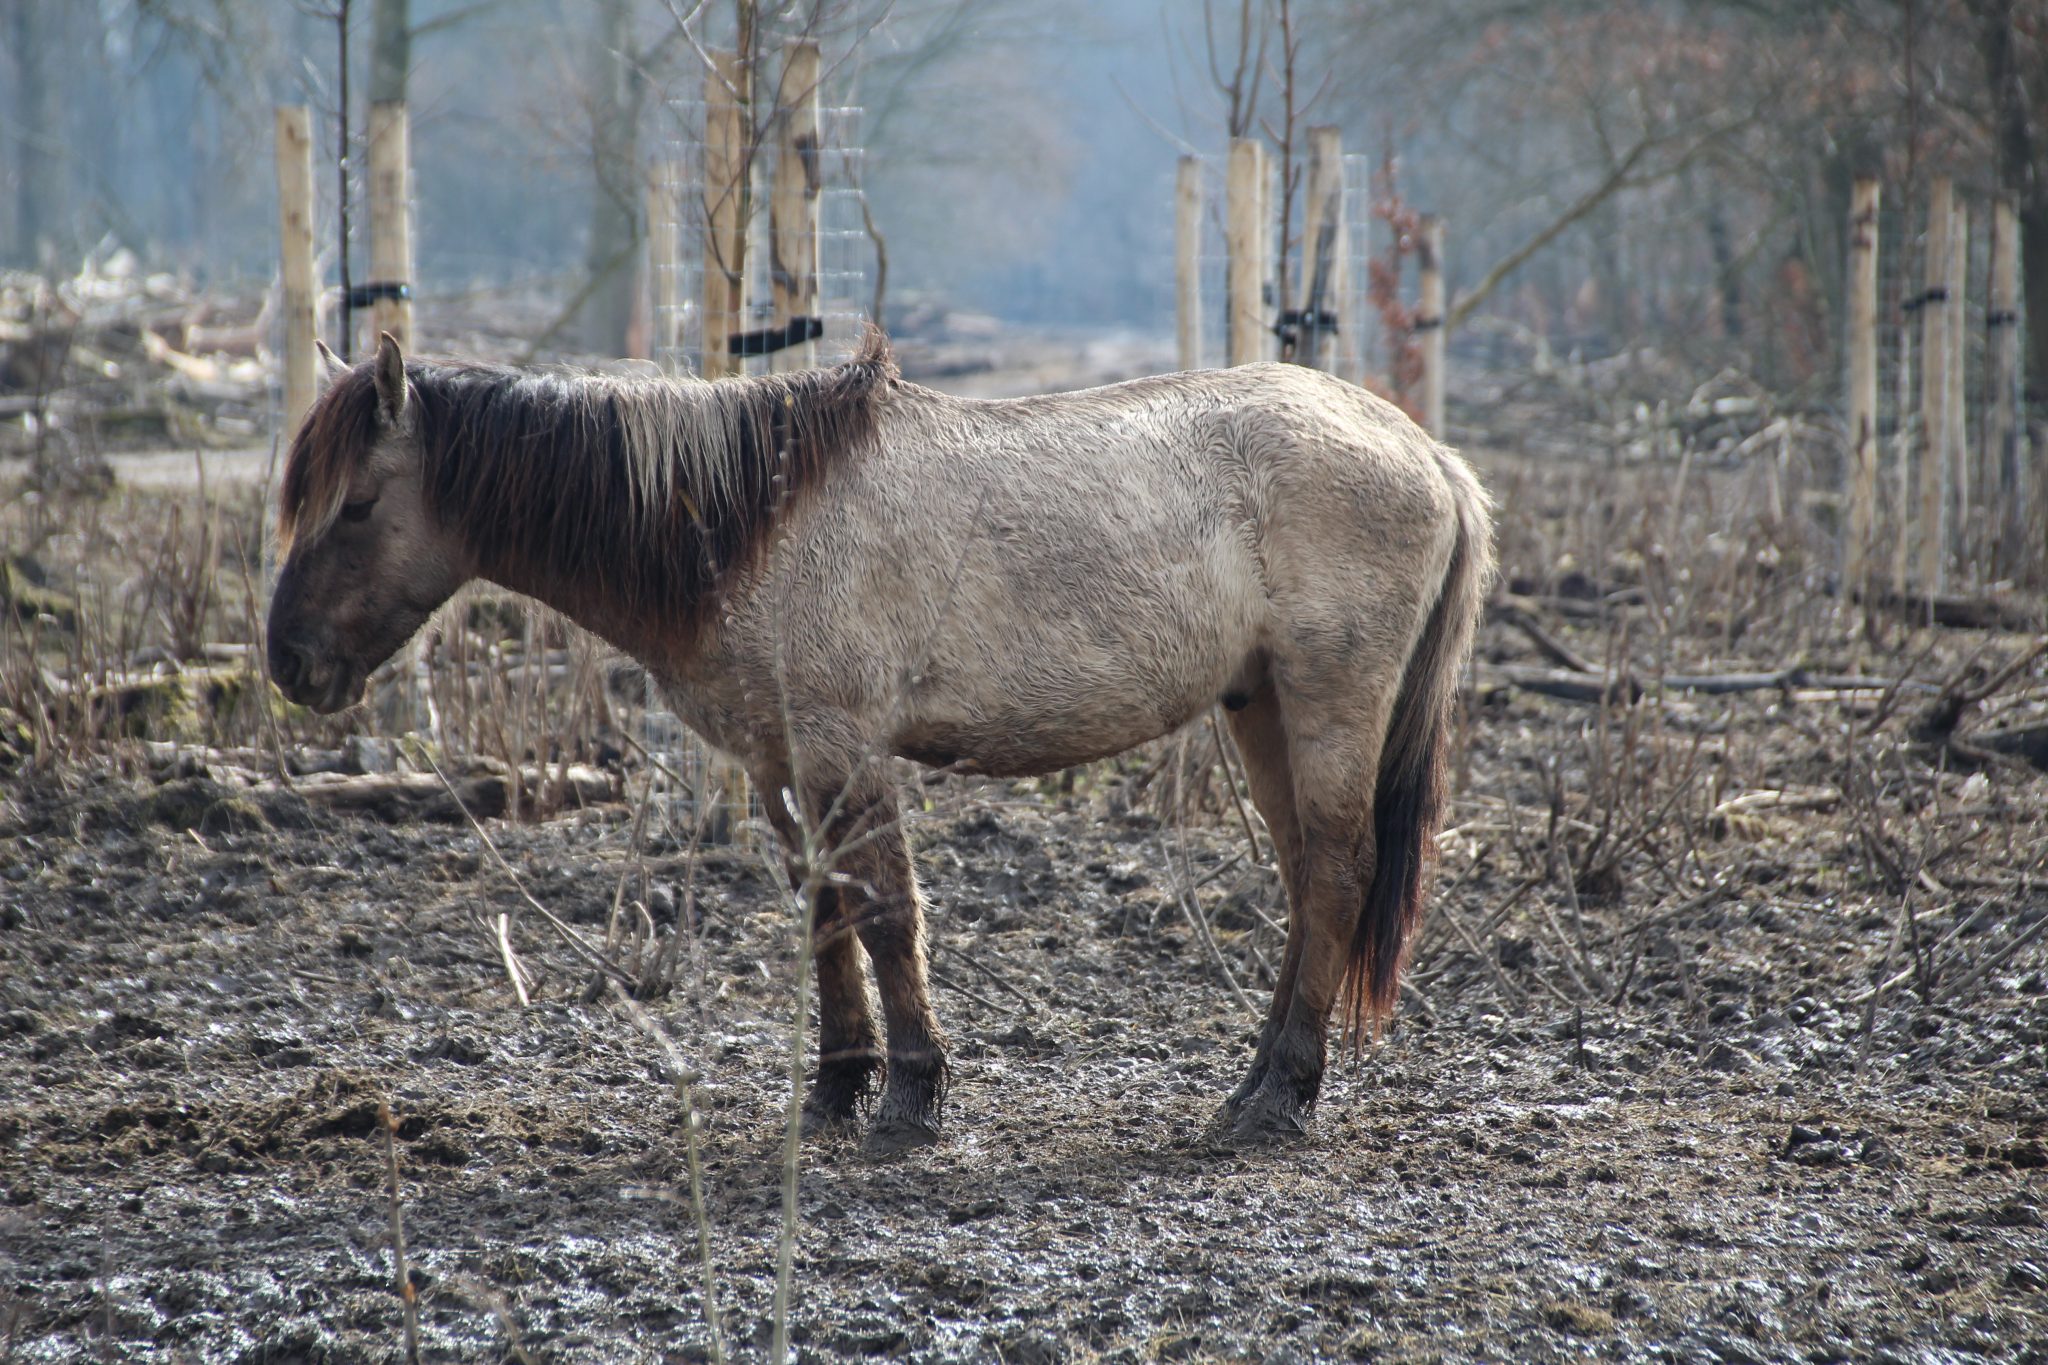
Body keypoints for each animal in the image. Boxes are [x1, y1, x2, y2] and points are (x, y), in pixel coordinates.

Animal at [267, 329, 1493, 1151]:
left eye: (358, 503)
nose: (290, 664)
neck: (752, 518)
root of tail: (1424, 454)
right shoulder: (779, 763)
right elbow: (823, 916)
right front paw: (836, 1087)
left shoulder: (844, 748)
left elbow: (888, 913)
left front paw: (909, 1095)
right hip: (1263, 709)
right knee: (1305, 880)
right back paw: (1256, 1083)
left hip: (1329, 702)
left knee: (1336, 873)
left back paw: (1279, 1096)